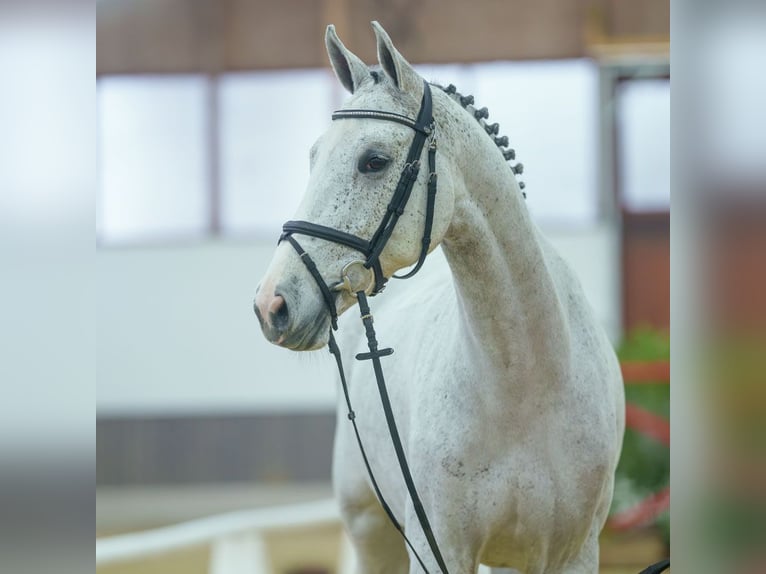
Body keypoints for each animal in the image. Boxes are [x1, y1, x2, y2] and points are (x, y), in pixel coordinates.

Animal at [255, 21, 628, 574]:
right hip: (370, 532)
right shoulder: (439, 549)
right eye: (314, 156)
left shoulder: (573, 552)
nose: (271, 305)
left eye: (374, 161)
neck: (526, 386)